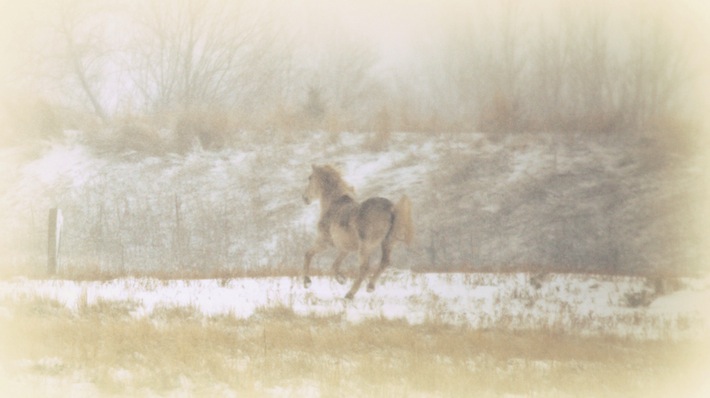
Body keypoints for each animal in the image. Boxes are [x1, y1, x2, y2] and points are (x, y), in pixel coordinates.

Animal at [304, 164, 414, 298]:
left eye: (310, 178)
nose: (304, 198)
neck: (333, 206)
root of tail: (392, 208)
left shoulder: (324, 242)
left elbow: (308, 254)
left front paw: (307, 282)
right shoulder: (345, 248)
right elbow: (334, 265)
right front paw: (341, 279)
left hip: (365, 247)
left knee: (364, 268)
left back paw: (350, 294)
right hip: (387, 243)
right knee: (384, 262)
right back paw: (370, 287)